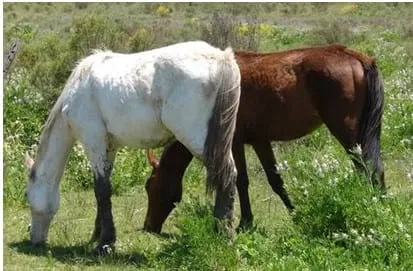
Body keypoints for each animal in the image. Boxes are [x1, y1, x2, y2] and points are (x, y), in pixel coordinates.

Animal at [23, 41, 241, 255]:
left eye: (27, 196)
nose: (34, 239)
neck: (78, 88)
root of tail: (221, 57)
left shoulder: (94, 142)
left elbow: (101, 189)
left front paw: (105, 243)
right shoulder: (109, 147)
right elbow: (104, 190)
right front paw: (98, 234)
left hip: (198, 140)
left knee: (225, 176)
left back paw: (224, 234)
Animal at [142, 44, 384, 234]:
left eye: (150, 186)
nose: (148, 227)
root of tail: (354, 55)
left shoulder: (235, 144)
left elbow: (241, 181)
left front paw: (246, 222)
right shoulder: (260, 141)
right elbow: (275, 181)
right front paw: (295, 215)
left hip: (346, 132)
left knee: (366, 169)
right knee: (376, 169)